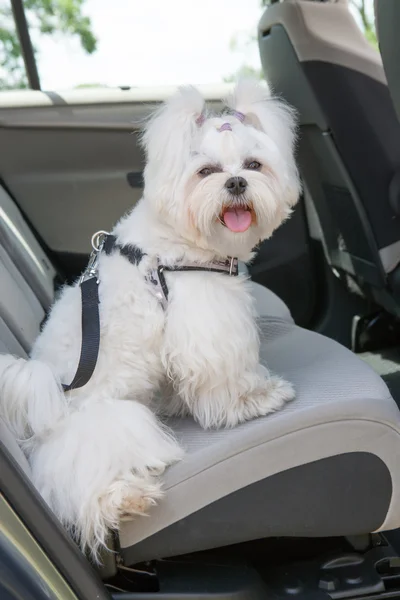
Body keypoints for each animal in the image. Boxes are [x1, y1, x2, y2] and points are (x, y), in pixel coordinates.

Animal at [0, 77, 300, 560]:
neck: (182, 241)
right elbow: (227, 373)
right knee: (81, 478)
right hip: (108, 423)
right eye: (206, 171)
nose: (236, 182)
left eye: (254, 164)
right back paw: (126, 497)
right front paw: (257, 399)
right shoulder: (205, 319)